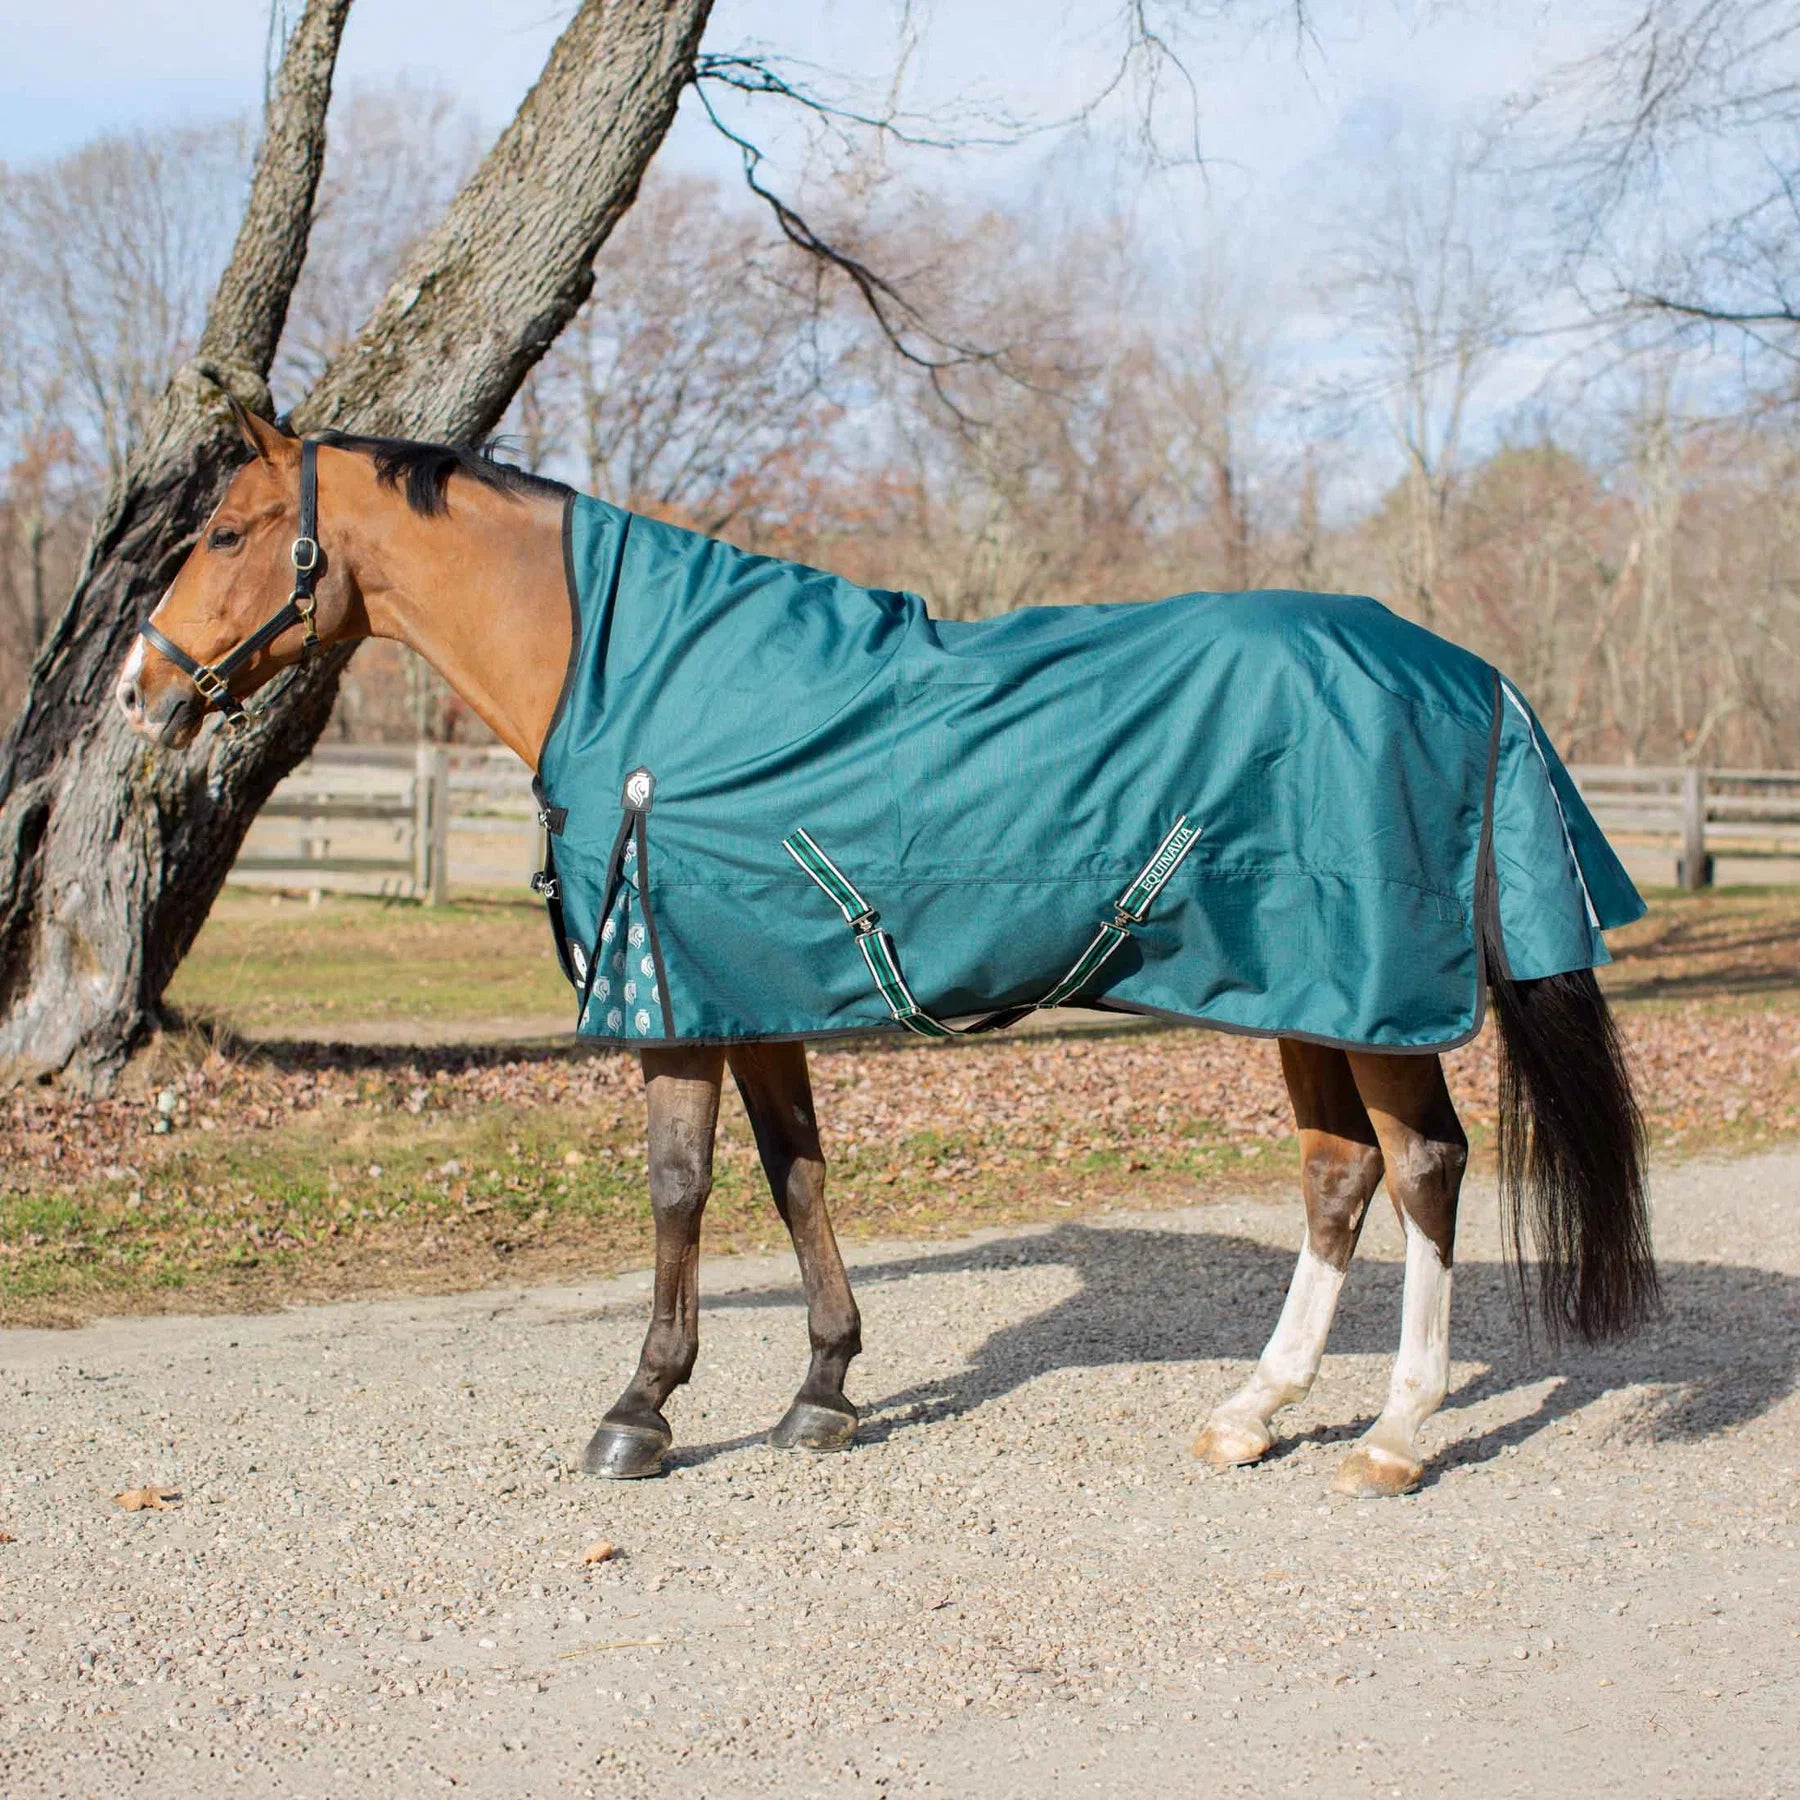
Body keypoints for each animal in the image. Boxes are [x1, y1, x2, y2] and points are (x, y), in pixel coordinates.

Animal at [116, 401, 1657, 1498]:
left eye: (233, 530)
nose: (137, 691)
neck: (652, 681)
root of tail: (1467, 670)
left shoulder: (675, 1001)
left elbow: (679, 1188)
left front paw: (641, 1410)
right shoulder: (754, 992)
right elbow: (795, 1177)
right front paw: (824, 1393)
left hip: (1374, 999)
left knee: (1425, 1168)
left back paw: (1395, 1435)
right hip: (1309, 993)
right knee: (1339, 1176)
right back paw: (1251, 1412)